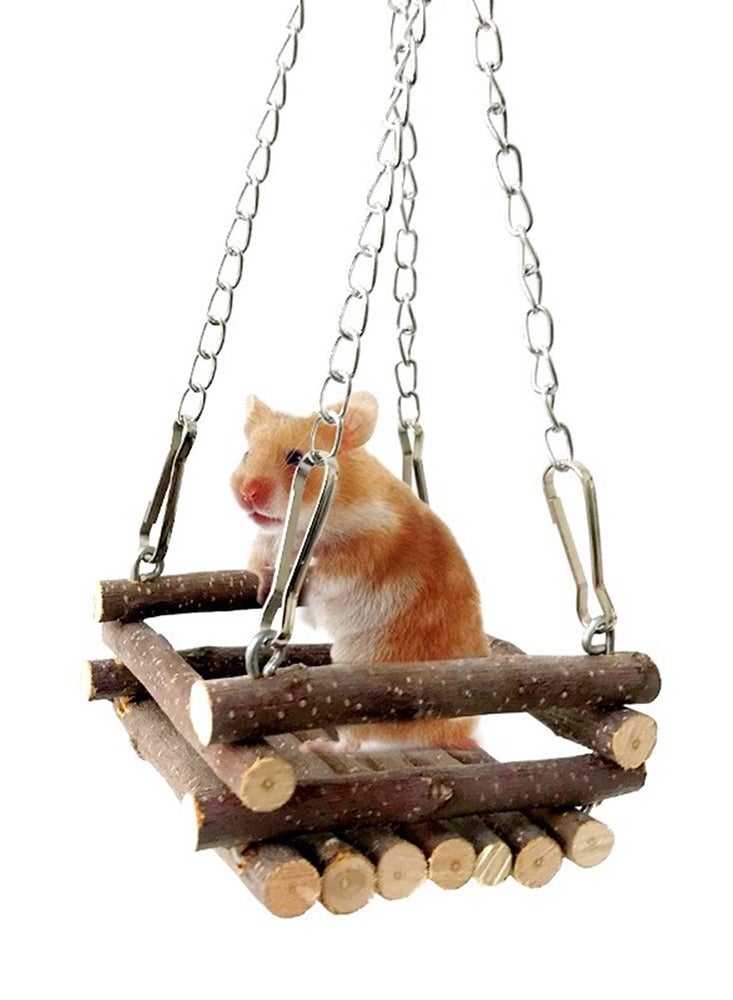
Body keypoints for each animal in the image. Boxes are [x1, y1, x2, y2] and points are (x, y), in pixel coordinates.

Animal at [231, 391, 487, 752]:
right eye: (246, 454)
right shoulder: (272, 538)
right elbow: (259, 555)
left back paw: (316, 746)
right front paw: (264, 583)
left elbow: (327, 573)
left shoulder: (369, 545)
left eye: (296, 458)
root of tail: (447, 734)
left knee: (353, 742)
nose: (246, 494)